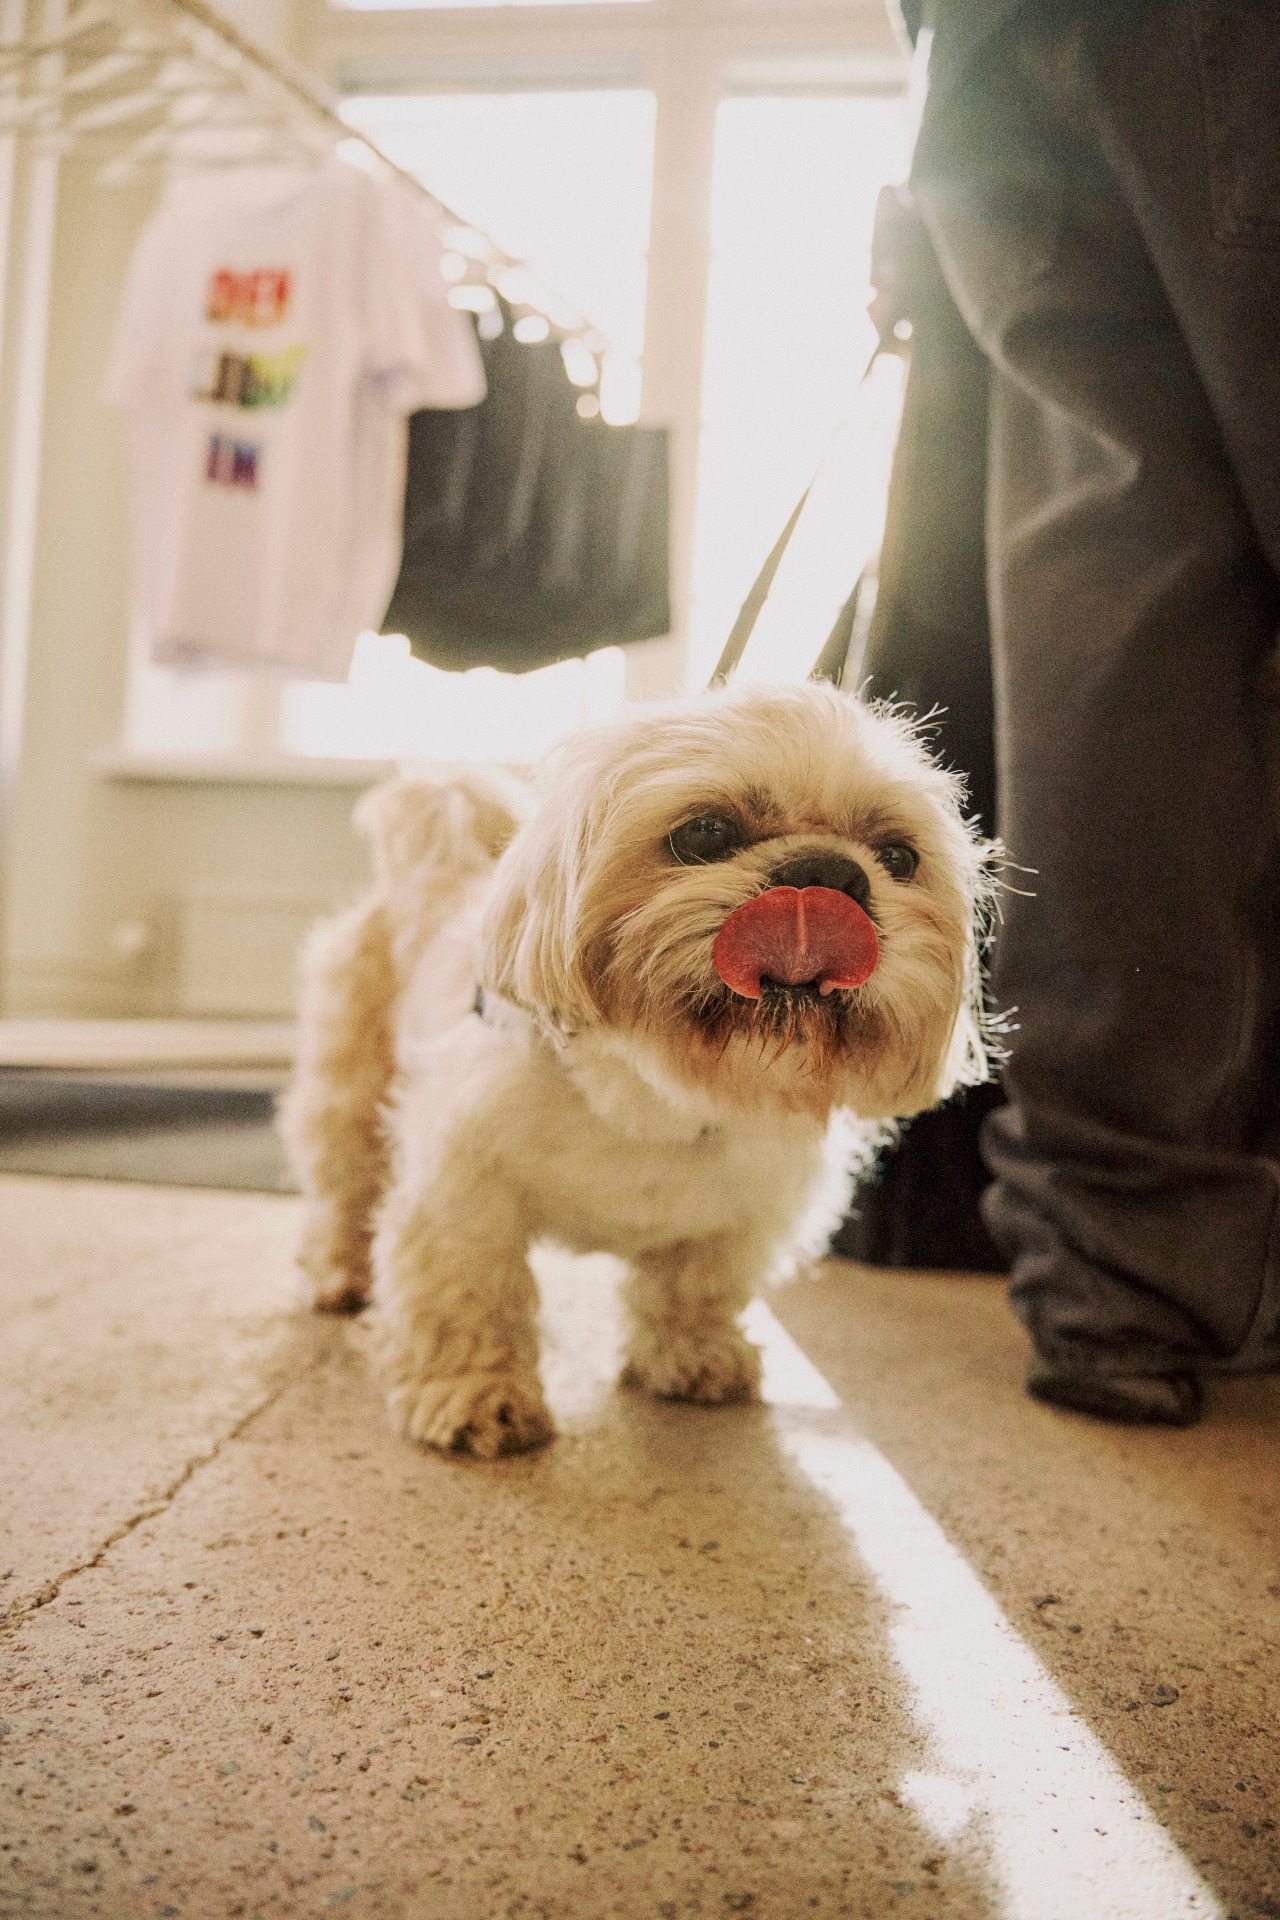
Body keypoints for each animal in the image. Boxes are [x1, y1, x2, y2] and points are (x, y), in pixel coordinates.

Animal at [280, 679, 992, 1457]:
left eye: (898, 856)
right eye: (705, 834)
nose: (827, 872)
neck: (660, 1099)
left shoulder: (739, 1217)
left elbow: (696, 1287)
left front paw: (695, 1357)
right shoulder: (461, 1196)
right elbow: (467, 1299)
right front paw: (475, 1393)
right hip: (349, 1097)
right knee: (345, 1192)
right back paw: (340, 1275)